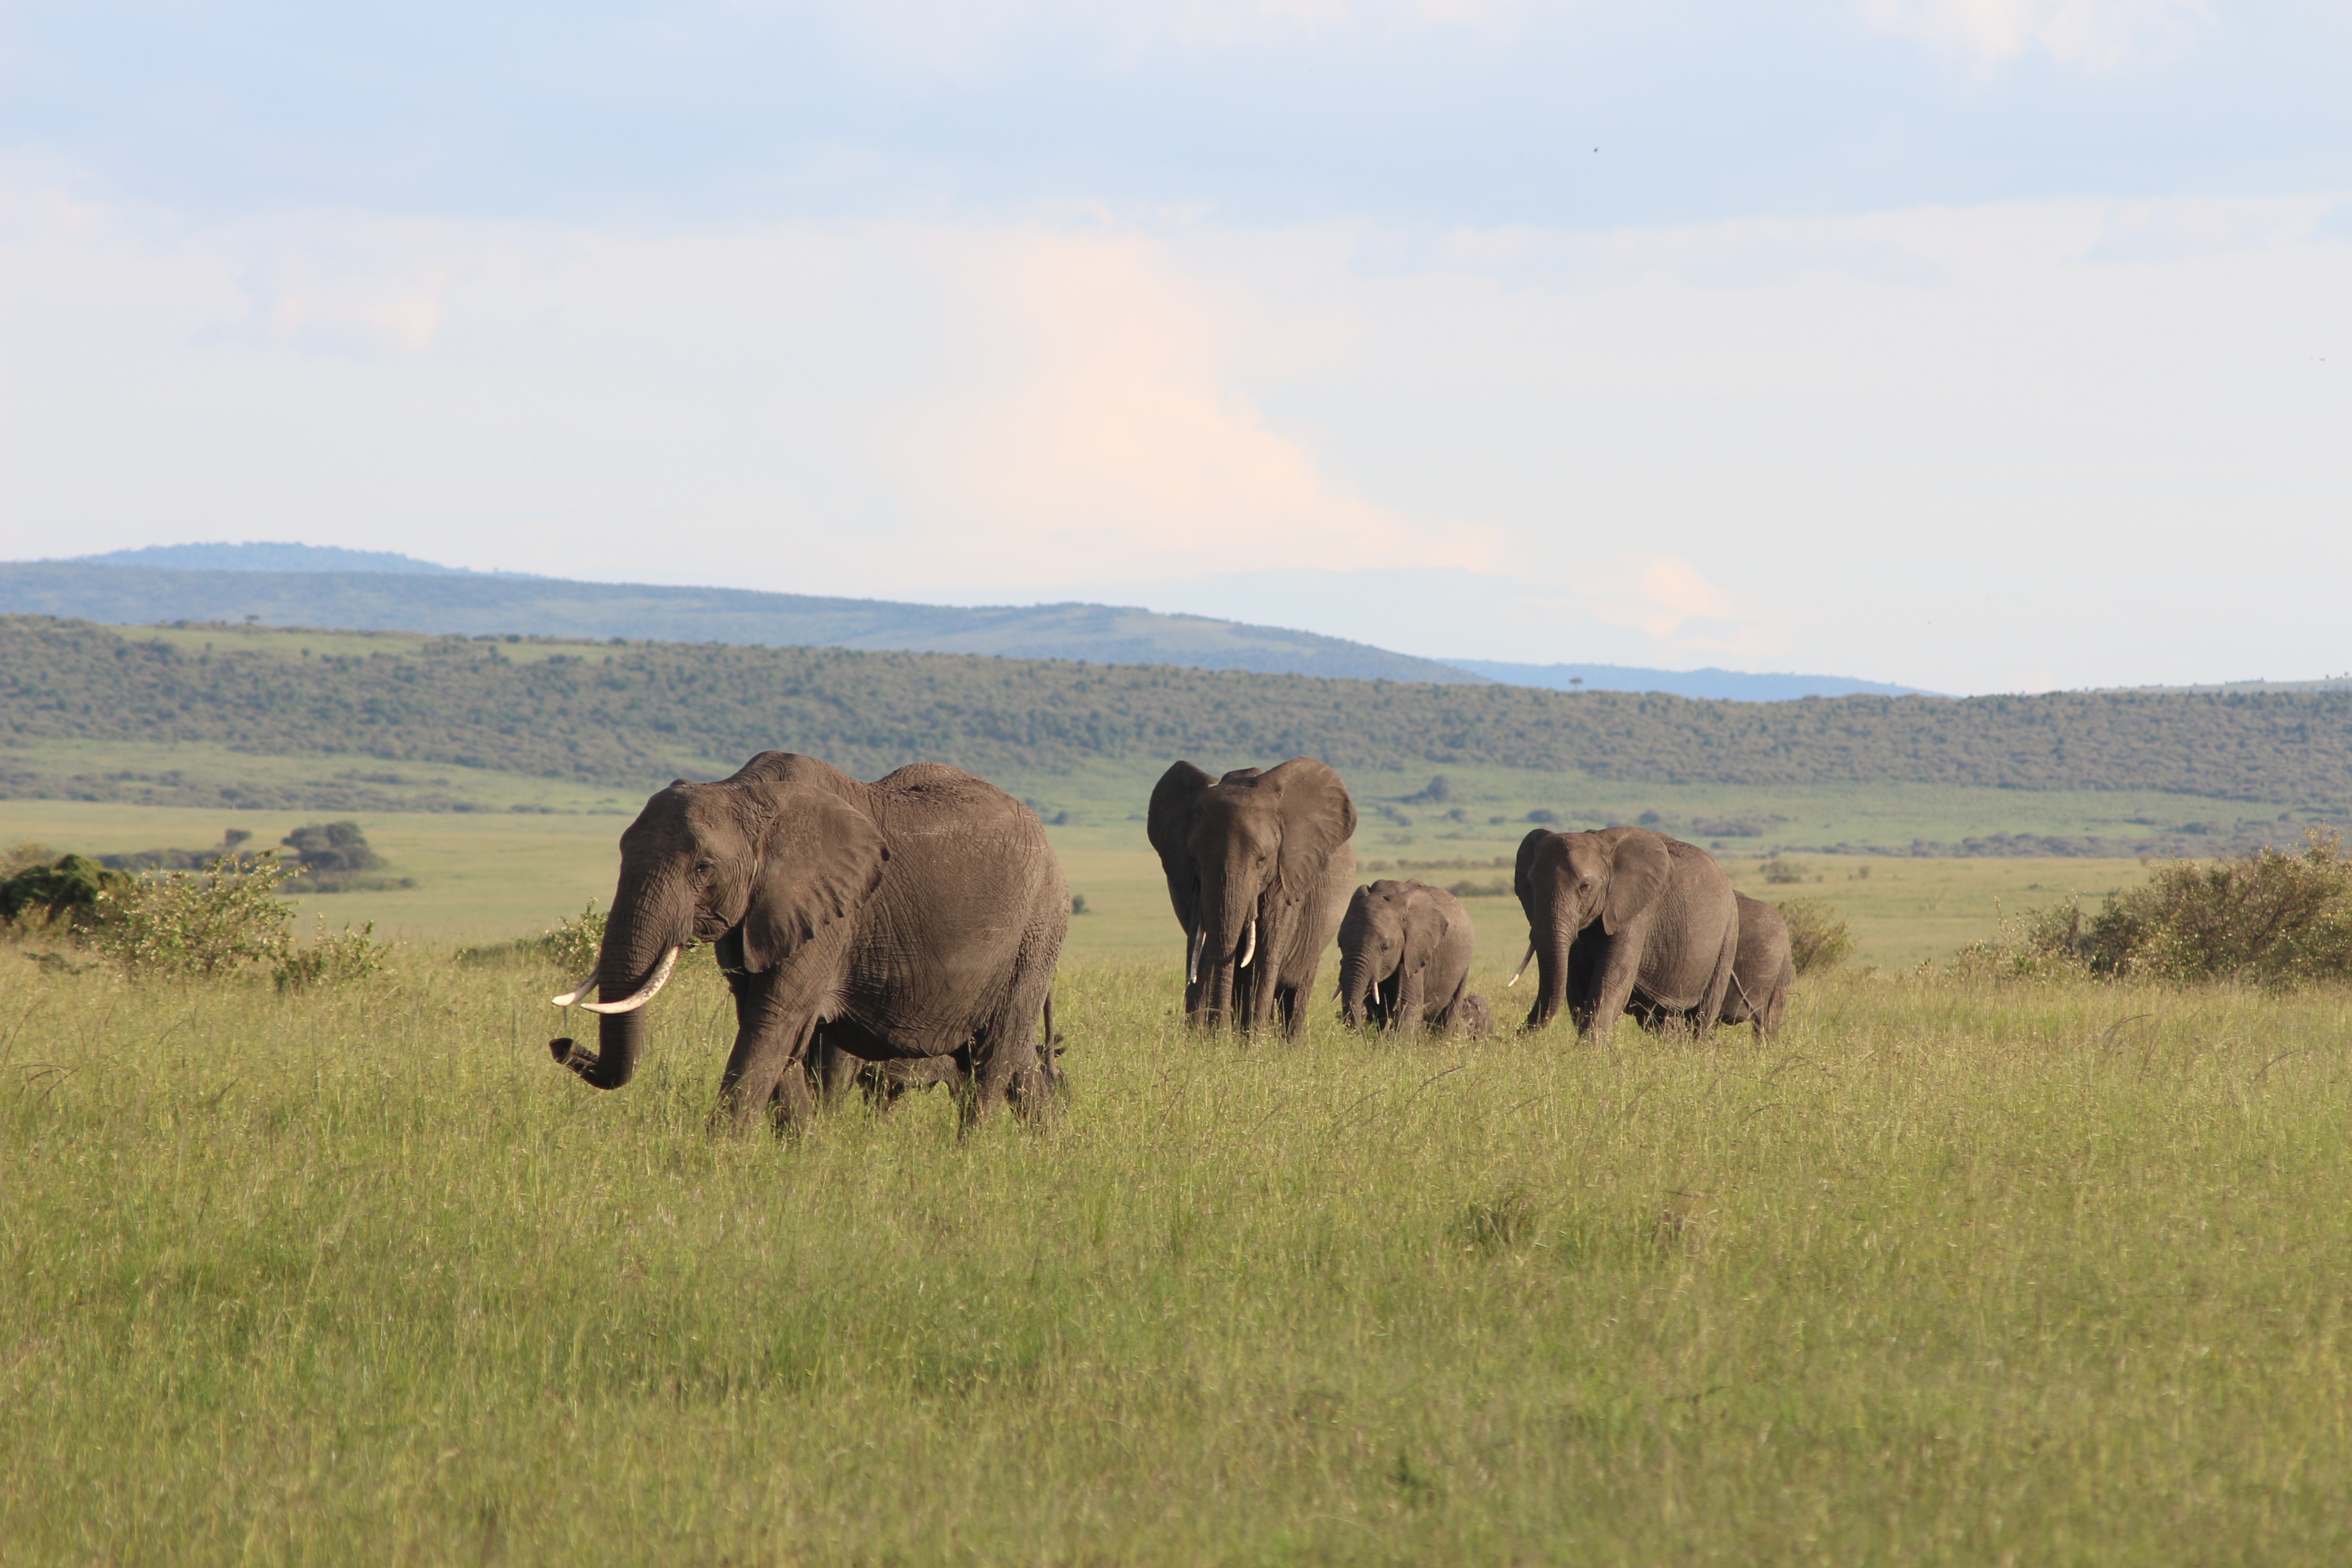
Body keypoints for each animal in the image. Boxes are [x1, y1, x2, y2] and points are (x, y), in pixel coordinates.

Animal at [541, 752, 1068, 1128]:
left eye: (704, 869)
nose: (561, 1042)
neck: (744, 792)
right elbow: (772, 1029)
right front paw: (806, 1150)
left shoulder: (834, 916)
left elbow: (773, 1021)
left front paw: (714, 1160)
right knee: (1016, 1055)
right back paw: (1045, 1150)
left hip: (1036, 931)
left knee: (994, 1054)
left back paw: (972, 1152)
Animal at [1143, 761, 1354, 1044]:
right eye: (1195, 859)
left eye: (1262, 860)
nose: (1217, 1033)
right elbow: (1199, 947)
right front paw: (1200, 1043)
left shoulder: (1287, 874)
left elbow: (1266, 952)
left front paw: (1253, 1045)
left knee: (1296, 990)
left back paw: (1289, 1046)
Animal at [1336, 884, 1477, 1044]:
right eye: (1340, 944)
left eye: (1385, 947)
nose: (1361, 1035)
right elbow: (1377, 1009)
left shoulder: (1415, 949)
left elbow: (1408, 1003)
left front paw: (1396, 1046)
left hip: (1464, 967)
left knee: (1448, 1014)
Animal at [1514, 823, 1740, 1044]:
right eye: (1528, 886)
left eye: (1585, 887)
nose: (1515, 1035)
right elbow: (1577, 984)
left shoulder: (1635, 911)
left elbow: (1613, 981)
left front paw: (1589, 1050)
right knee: (1664, 1018)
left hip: (1729, 933)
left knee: (1704, 1012)